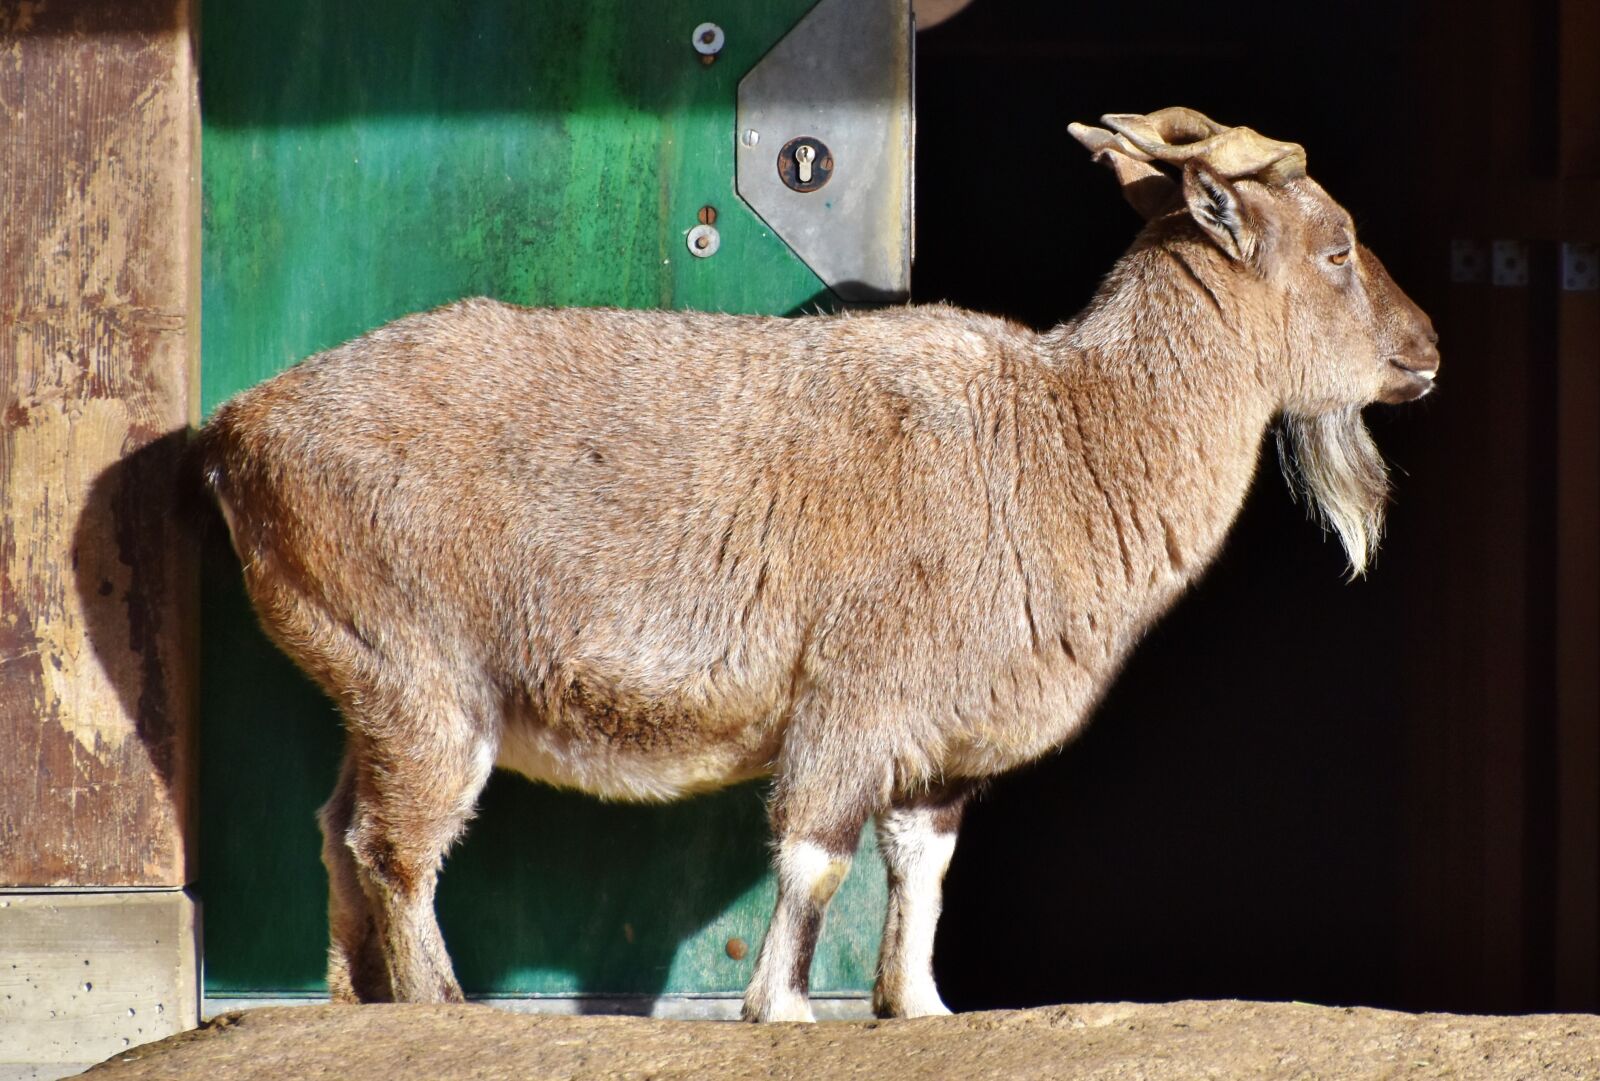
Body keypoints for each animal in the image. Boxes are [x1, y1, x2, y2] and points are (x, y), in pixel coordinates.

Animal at [195, 109, 1438, 1022]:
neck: (1058, 438)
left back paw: (354, 1000)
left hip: (377, 689)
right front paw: (781, 1008)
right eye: (1336, 249)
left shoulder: (941, 737)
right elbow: (815, 857)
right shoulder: (854, 696)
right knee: (393, 846)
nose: (1425, 351)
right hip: (429, 683)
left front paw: (918, 1005)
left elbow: (920, 869)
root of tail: (239, 435)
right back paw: (440, 1005)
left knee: (337, 827)